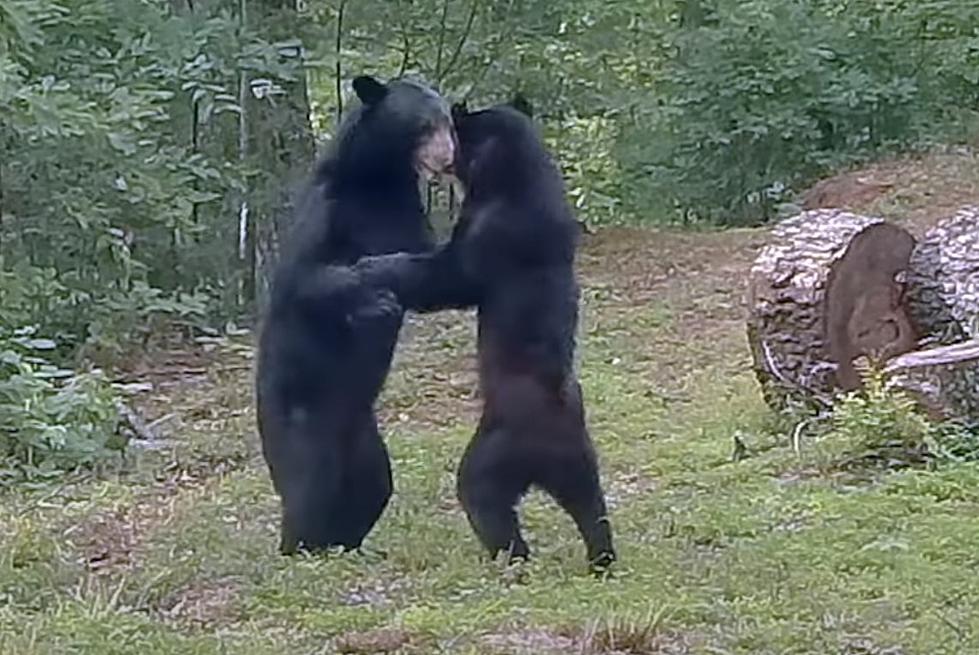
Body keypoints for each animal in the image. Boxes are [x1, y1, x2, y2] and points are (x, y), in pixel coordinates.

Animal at [256, 74, 456, 556]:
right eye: (423, 125)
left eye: (448, 120)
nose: (447, 156)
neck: (377, 181)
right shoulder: (328, 210)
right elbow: (306, 278)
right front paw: (374, 300)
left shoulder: (407, 215)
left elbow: (430, 269)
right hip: (300, 420)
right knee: (309, 485)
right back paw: (302, 547)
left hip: (365, 437)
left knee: (372, 484)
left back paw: (349, 544)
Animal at [356, 98, 616, 576]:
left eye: (457, 133)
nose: (441, 157)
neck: (514, 179)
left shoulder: (489, 233)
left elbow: (446, 275)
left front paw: (374, 266)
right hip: (581, 462)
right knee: (592, 508)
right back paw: (601, 559)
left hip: (497, 450)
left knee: (483, 494)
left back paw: (511, 558)